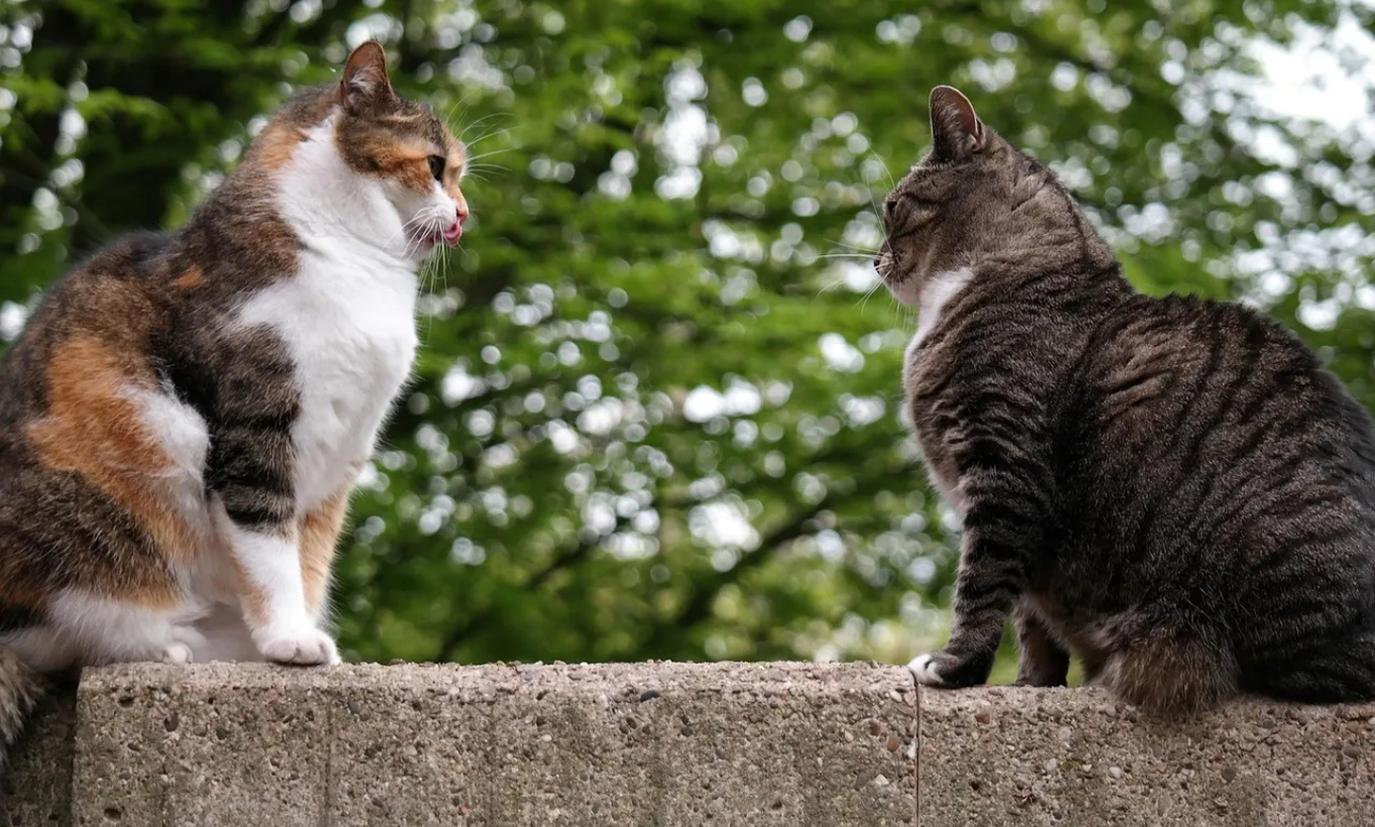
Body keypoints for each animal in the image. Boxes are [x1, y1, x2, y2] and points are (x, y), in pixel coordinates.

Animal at [0, 41, 473, 765]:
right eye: (435, 166)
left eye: (458, 173)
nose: (464, 213)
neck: (354, 260)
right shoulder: (255, 430)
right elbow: (269, 543)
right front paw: (290, 641)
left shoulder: (337, 463)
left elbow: (309, 560)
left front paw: (296, 637)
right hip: (101, 495)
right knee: (63, 631)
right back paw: (167, 645)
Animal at [885, 87, 1375, 710]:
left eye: (891, 210)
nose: (874, 260)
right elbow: (1031, 622)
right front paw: (1032, 684)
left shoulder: (1005, 466)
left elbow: (984, 584)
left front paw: (956, 667)